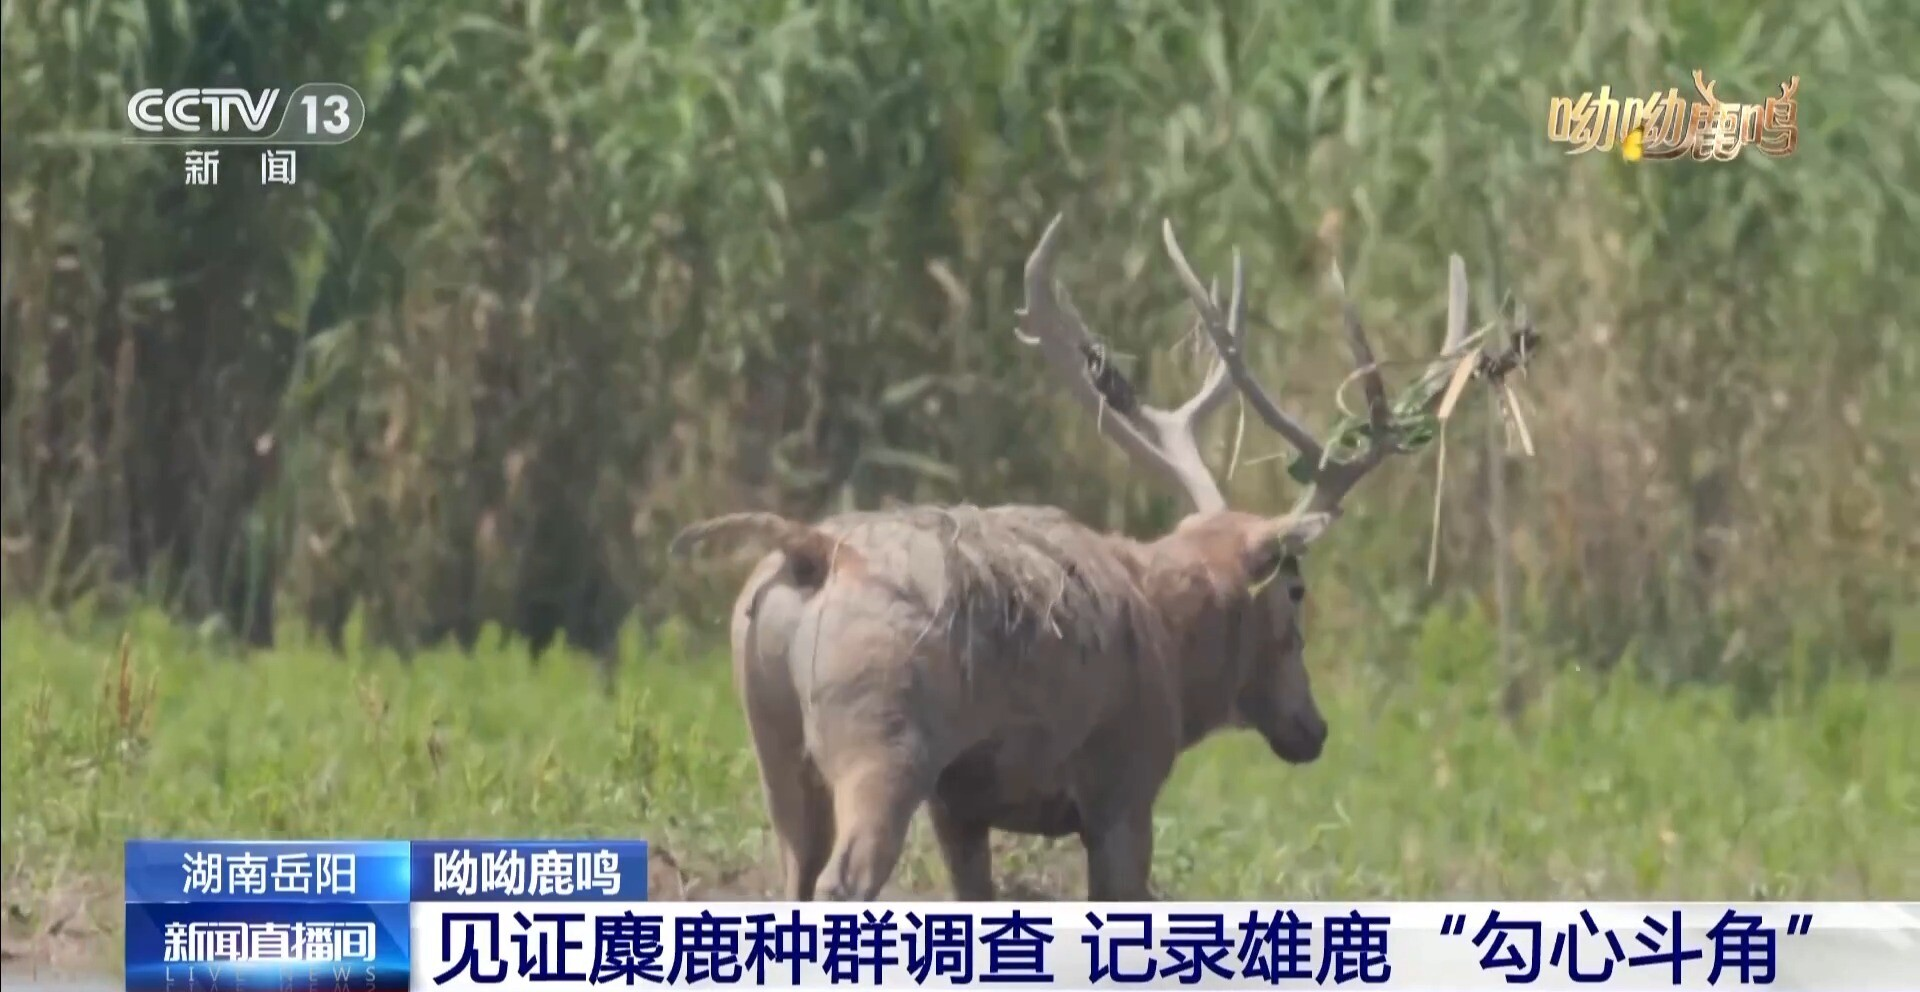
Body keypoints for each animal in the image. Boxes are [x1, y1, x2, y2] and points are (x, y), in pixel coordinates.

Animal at [672, 212, 1529, 902]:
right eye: (1296, 593)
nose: (1312, 728)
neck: (1171, 642)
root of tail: (809, 549)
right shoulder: (1124, 785)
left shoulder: (962, 804)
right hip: (881, 736)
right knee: (843, 880)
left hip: (773, 741)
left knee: (792, 873)